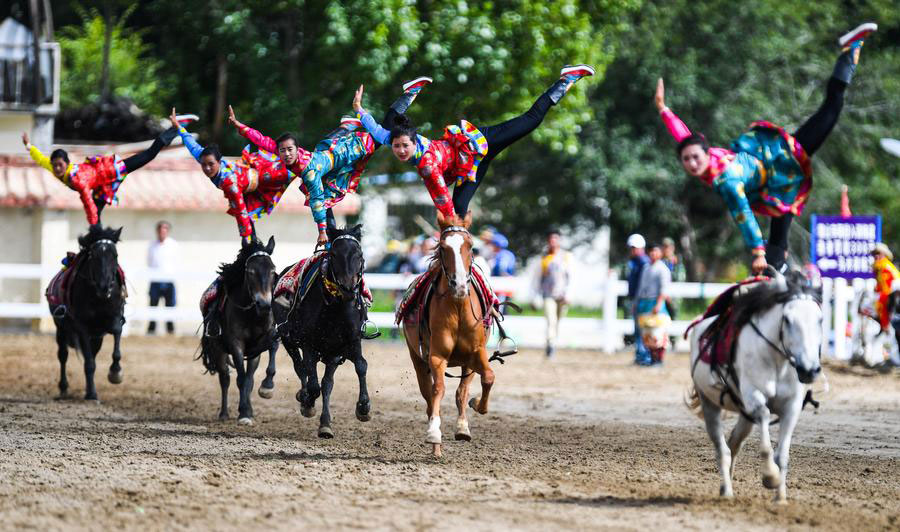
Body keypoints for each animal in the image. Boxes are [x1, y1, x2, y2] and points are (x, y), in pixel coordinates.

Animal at [47, 222, 126, 402]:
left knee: (92, 355)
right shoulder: (82, 327)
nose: (105, 287)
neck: (99, 297)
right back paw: (64, 388)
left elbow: (116, 334)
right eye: (93, 256)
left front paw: (115, 373)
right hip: (61, 329)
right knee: (63, 355)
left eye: (115, 255)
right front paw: (92, 394)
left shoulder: (114, 318)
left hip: (96, 337)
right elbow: (88, 363)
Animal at [200, 237, 278, 424]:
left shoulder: (260, 344)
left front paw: (266, 388)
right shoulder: (236, 344)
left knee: (249, 379)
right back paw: (224, 413)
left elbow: (250, 378)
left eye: (273, 271)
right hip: (218, 350)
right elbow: (240, 379)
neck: (251, 313)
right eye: (250, 271)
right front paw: (243, 414)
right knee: (225, 378)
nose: (264, 304)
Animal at [274, 223, 372, 436]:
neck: (335, 306)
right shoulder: (308, 343)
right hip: (288, 339)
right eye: (334, 254)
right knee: (301, 369)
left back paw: (325, 424)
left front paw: (364, 407)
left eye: (360, 254)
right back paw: (305, 400)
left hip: (332, 353)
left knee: (327, 384)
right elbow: (312, 383)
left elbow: (361, 366)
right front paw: (307, 401)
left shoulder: (351, 341)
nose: (348, 289)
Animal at [404, 212, 496, 458]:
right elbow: (438, 390)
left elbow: (487, 378)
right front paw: (434, 433)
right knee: (429, 396)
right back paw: (436, 447)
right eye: (443, 247)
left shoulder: (476, 353)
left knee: (461, 391)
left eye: (470, 246)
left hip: (465, 363)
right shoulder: (436, 357)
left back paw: (462, 427)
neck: (457, 306)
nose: (460, 284)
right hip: (417, 359)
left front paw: (476, 406)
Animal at [688, 272, 824, 504]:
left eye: (820, 319)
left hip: (744, 415)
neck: (777, 361)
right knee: (722, 450)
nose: (809, 370)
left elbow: (782, 455)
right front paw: (770, 477)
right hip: (709, 403)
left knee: (734, 443)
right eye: (788, 319)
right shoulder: (754, 399)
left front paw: (780, 498)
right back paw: (727, 491)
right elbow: (766, 433)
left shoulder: (792, 407)